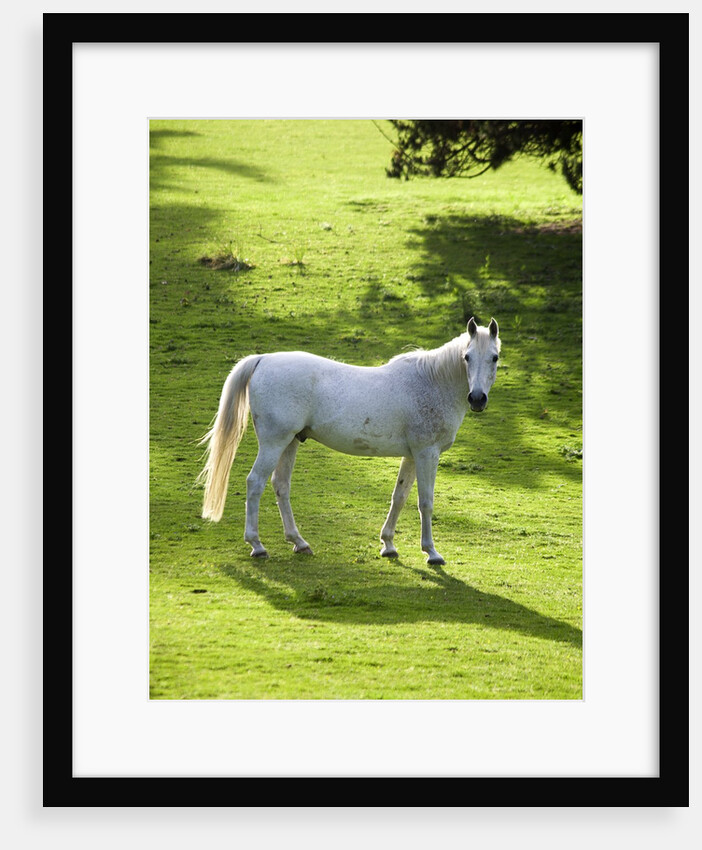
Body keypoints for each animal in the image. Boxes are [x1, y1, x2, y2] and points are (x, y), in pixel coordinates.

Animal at [197, 316, 501, 564]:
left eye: (494, 357)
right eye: (466, 357)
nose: (477, 399)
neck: (432, 382)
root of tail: (264, 359)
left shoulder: (413, 455)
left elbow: (399, 496)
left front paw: (388, 545)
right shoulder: (427, 453)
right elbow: (425, 502)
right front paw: (432, 553)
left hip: (290, 443)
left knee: (280, 486)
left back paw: (299, 542)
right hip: (274, 443)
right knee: (255, 482)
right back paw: (257, 545)